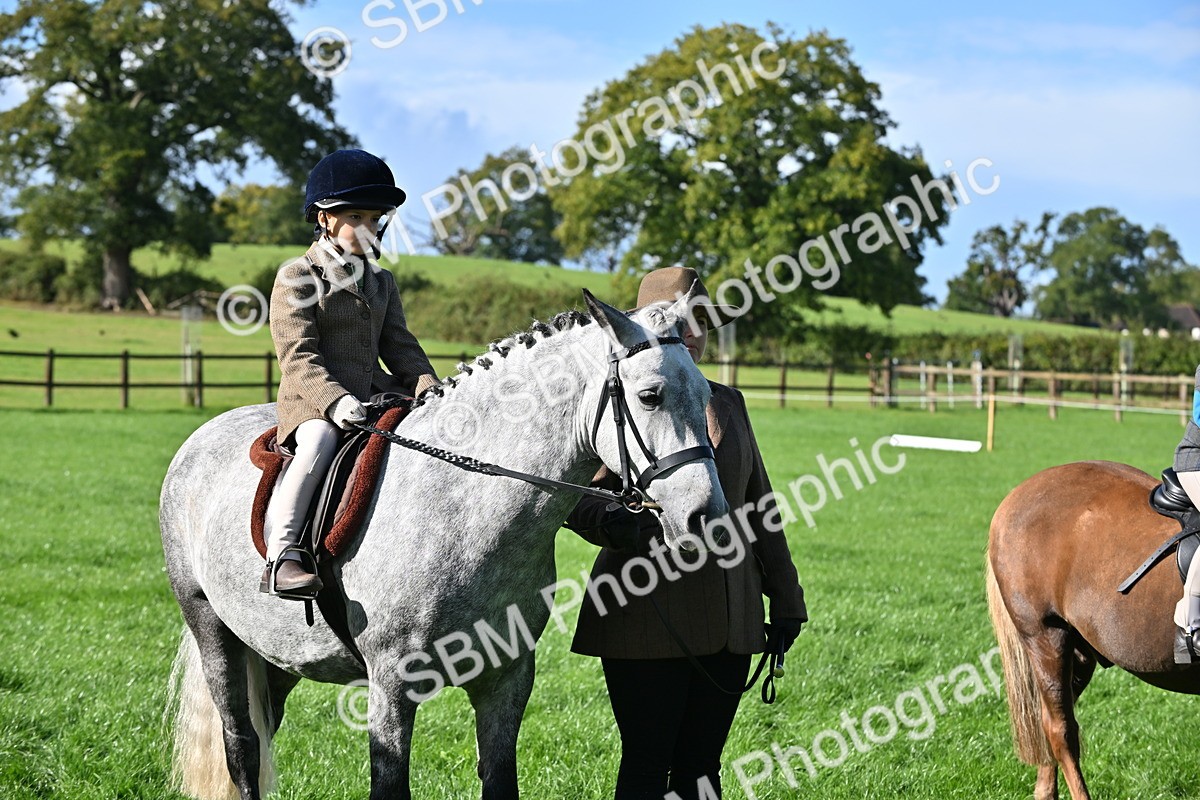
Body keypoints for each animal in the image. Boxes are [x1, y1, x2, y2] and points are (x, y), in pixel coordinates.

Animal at [159, 290, 729, 800]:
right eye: (650, 395)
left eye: (706, 397)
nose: (706, 517)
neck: (462, 507)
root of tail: (201, 436)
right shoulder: (391, 688)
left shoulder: (506, 681)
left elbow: (499, 781)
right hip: (213, 631)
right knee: (242, 746)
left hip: (277, 654)